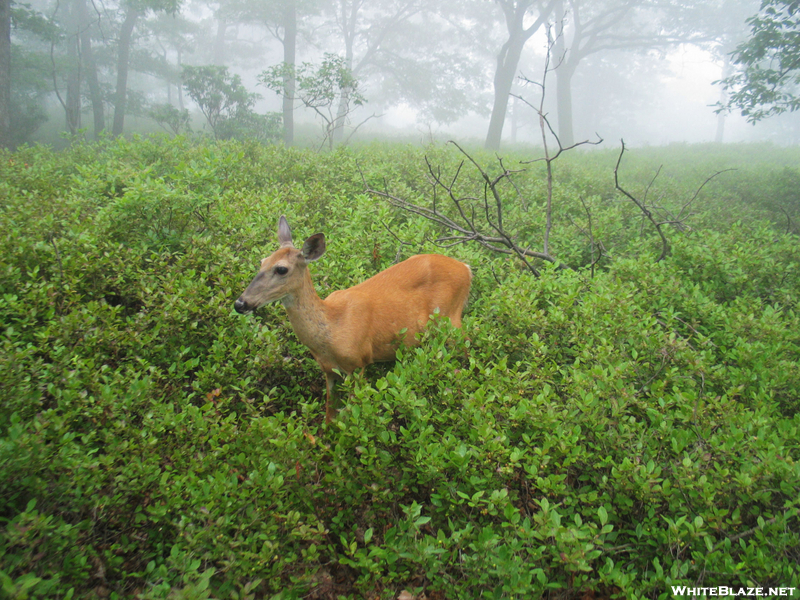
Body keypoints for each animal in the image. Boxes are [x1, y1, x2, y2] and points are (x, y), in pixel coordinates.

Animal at [231, 216, 472, 422]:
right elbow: (330, 414)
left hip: (452, 320)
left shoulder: (358, 362)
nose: (240, 303)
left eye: (281, 269)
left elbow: (350, 416)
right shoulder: (328, 370)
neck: (331, 328)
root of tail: (467, 268)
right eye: (262, 261)